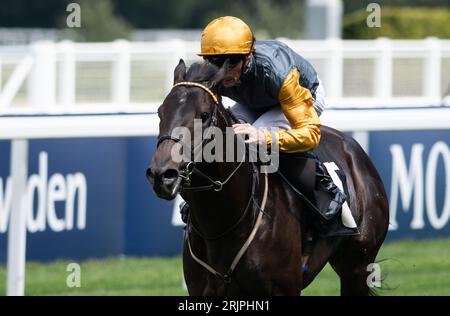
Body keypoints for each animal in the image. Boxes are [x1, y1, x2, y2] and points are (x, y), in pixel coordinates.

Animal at [148, 58, 390, 296]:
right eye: (160, 112)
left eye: (204, 115)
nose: (162, 175)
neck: (224, 224)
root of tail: (353, 148)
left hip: (357, 267)